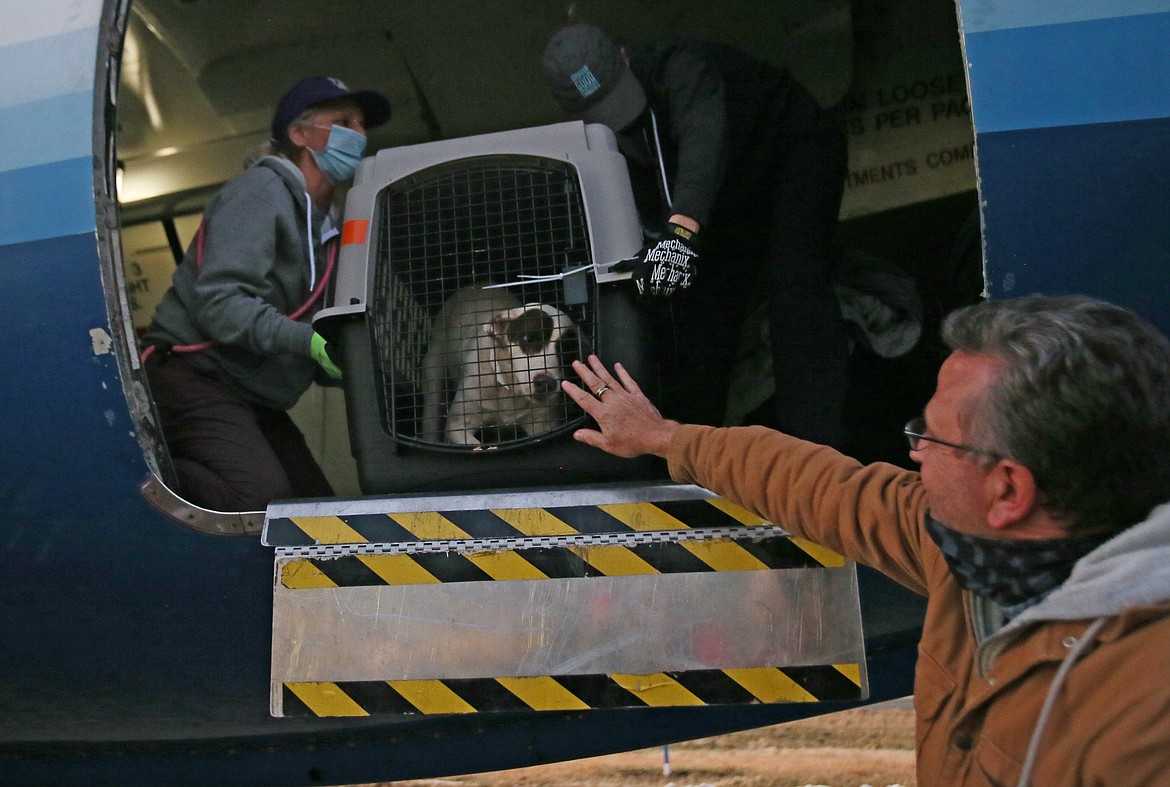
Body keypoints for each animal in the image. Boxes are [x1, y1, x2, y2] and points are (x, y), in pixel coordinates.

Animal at [418, 282, 589, 444]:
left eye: (566, 353)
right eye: (529, 339)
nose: (546, 383)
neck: (510, 390)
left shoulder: (544, 425)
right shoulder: (457, 426)